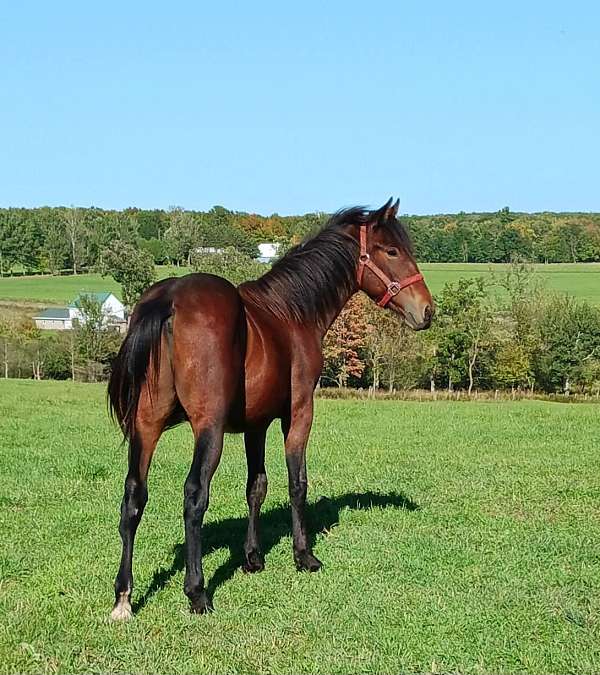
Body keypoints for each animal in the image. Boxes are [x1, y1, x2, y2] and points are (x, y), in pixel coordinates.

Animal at [107, 197, 433, 620]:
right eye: (392, 251)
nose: (427, 310)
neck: (290, 313)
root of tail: (171, 297)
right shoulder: (297, 414)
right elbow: (297, 483)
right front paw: (303, 555)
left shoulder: (255, 425)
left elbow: (256, 487)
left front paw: (252, 557)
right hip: (207, 429)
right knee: (194, 495)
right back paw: (197, 592)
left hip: (146, 425)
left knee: (134, 495)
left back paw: (123, 597)